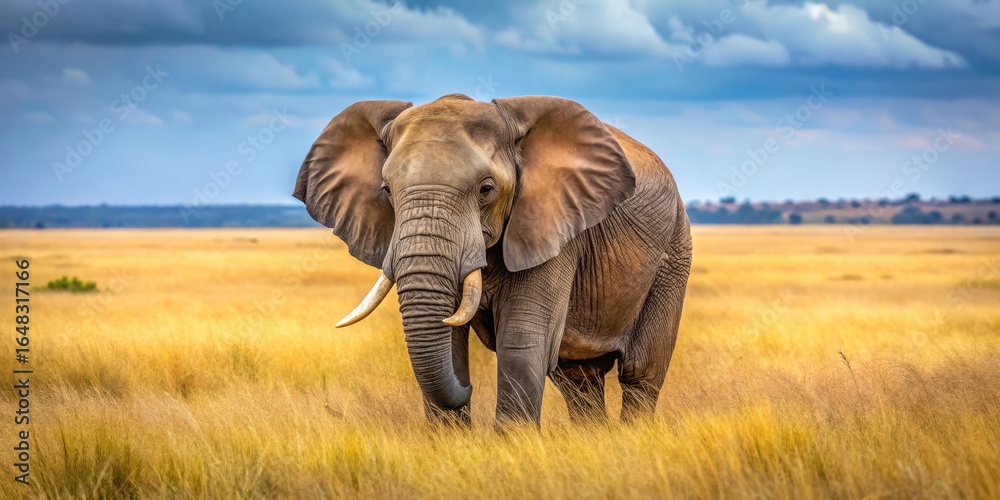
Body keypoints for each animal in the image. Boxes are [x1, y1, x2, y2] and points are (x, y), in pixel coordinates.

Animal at [293, 94, 691, 426]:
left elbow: (522, 339)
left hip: (673, 254)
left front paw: (513, 441)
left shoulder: (552, 226)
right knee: (578, 379)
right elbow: (452, 345)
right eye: (387, 190)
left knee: (640, 372)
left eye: (486, 190)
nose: (468, 390)